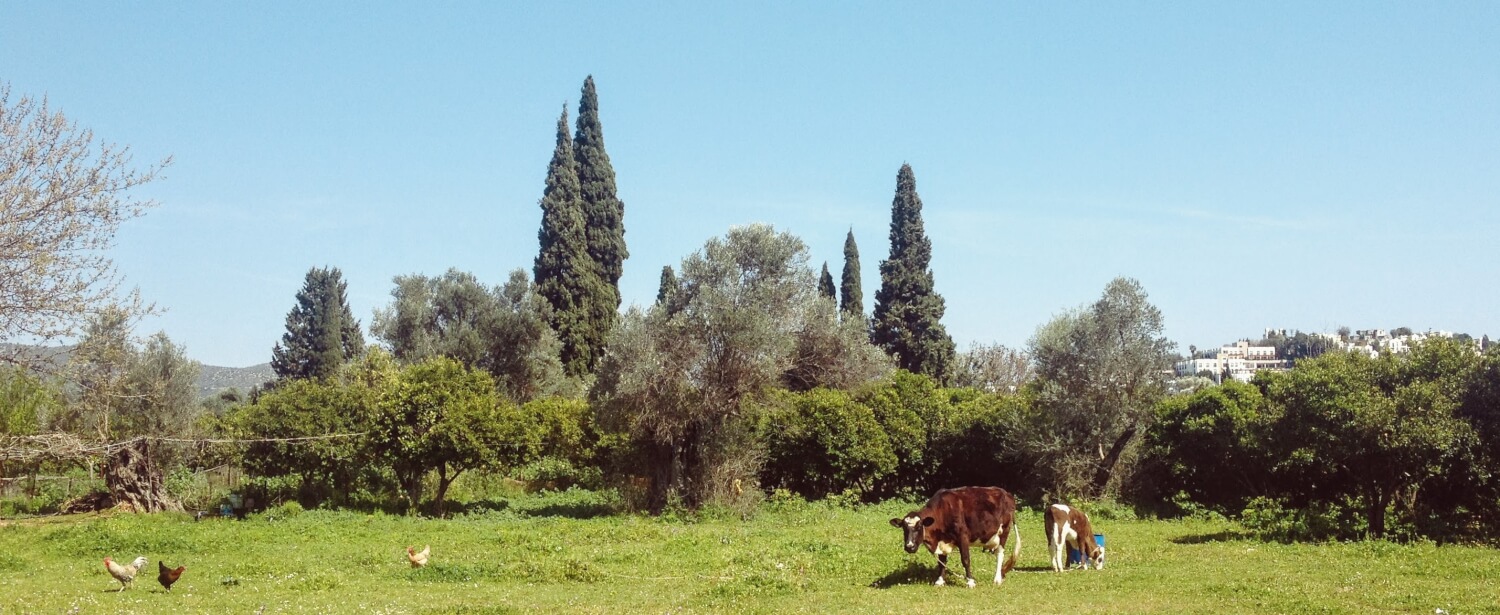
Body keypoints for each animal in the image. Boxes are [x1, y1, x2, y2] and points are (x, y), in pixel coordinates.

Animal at [888, 486, 1020, 585]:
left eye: (919, 527)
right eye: (904, 528)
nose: (909, 546)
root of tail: (1007, 493)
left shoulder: (963, 536)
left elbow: (965, 560)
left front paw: (970, 581)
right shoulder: (942, 541)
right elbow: (941, 561)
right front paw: (940, 581)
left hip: (1004, 531)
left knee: (1000, 554)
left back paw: (997, 579)